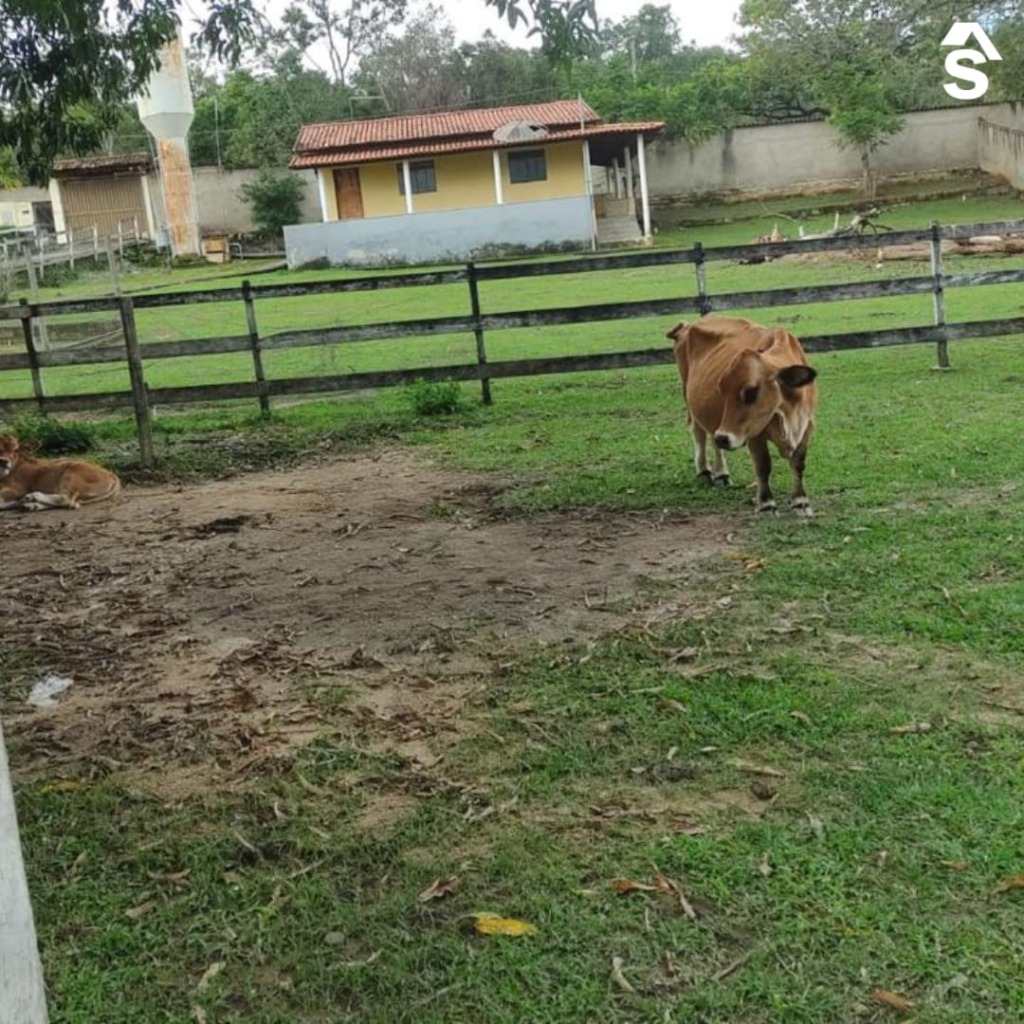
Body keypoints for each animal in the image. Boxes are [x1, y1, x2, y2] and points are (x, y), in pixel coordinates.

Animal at [666, 315, 819, 516]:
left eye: (751, 392)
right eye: (722, 389)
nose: (724, 438)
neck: (788, 413)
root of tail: (688, 325)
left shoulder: (807, 425)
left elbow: (799, 463)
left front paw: (801, 501)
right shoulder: (753, 433)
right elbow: (763, 466)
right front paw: (766, 504)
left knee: (712, 437)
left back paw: (721, 472)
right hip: (689, 398)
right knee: (699, 433)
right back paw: (705, 471)